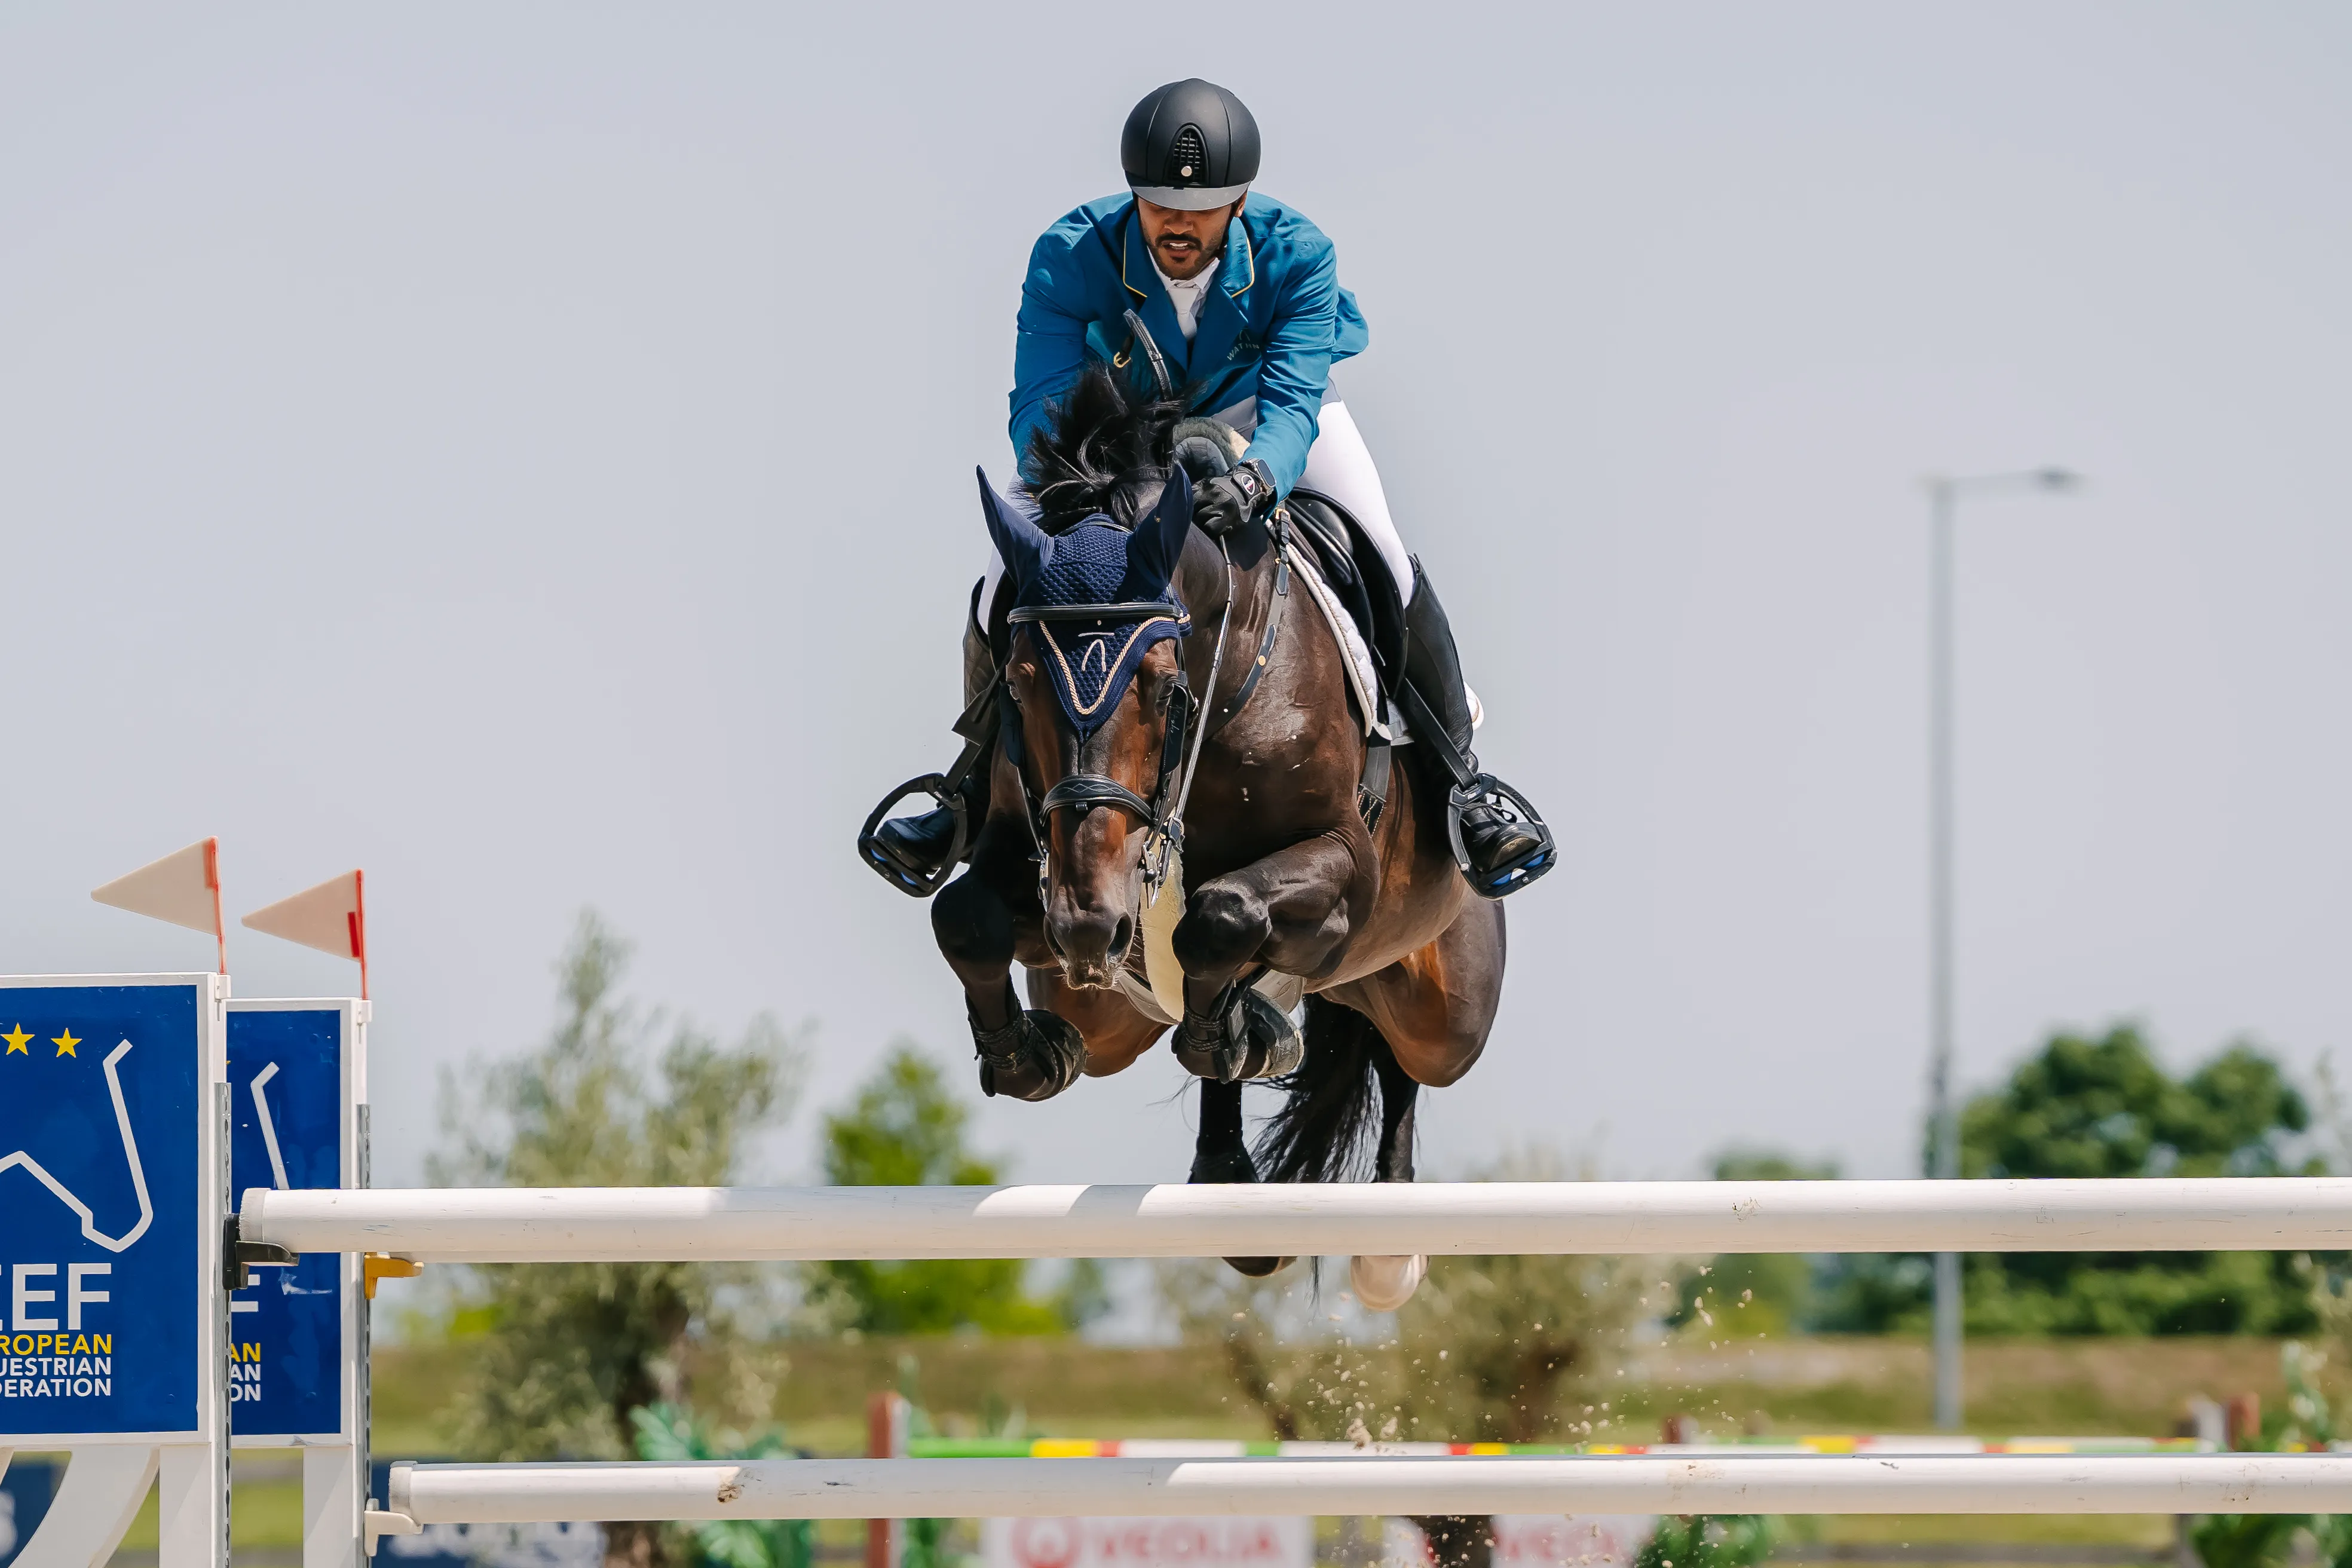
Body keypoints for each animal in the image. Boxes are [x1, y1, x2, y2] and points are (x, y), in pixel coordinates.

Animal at [925, 366, 1507, 1307]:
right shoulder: (1036, 865)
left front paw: (1243, 1027)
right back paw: (1227, 1173)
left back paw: (1387, 1246)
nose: (1090, 927)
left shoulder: (1342, 871)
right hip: (1108, 1019)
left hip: (1446, 1008)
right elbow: (964, 916)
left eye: (1165, 683)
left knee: (1404, 1058)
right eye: (1014, 680)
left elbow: (1223, 915)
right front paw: (1027, 1055)